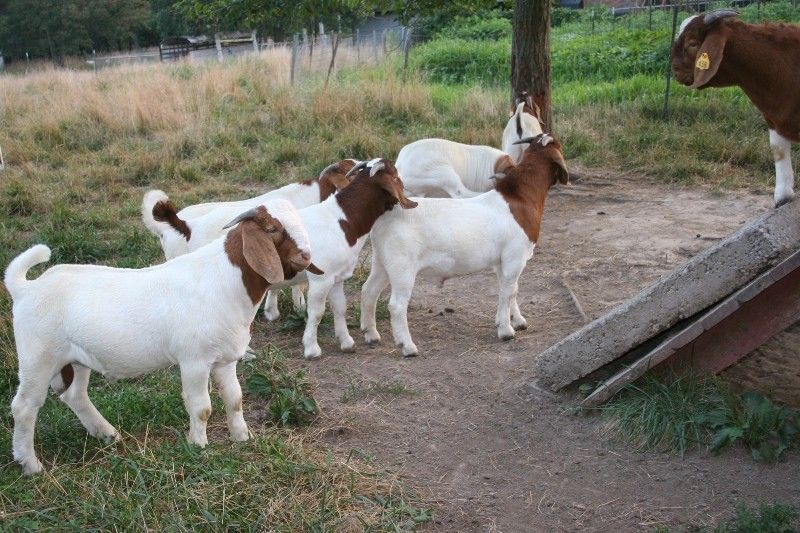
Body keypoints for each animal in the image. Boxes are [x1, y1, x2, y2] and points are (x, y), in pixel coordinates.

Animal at [4, 201, 312, 475]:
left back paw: (107, 434)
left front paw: (242, 438)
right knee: (24, 407)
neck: (224, 280)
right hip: (38, 357)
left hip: (75, 359)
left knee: (75, 395)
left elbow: (235, 399)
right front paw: (198, 447)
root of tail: (25, 288)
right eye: (272, 229)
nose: (307, 257)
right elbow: (201, 408)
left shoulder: (225, 359)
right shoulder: (194, 361)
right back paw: (30, 465)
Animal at [361, 134, 568, 357]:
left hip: (382, 262)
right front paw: (506, 330)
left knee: (369, 291)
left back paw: (371, 334)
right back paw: (407, 347)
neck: (519, 198)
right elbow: (507, 292)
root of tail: (386, 214)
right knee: (397, 305)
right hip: (402, 267)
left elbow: (512, 289)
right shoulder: (515, 257)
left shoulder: (502, 262)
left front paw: (518, 321)